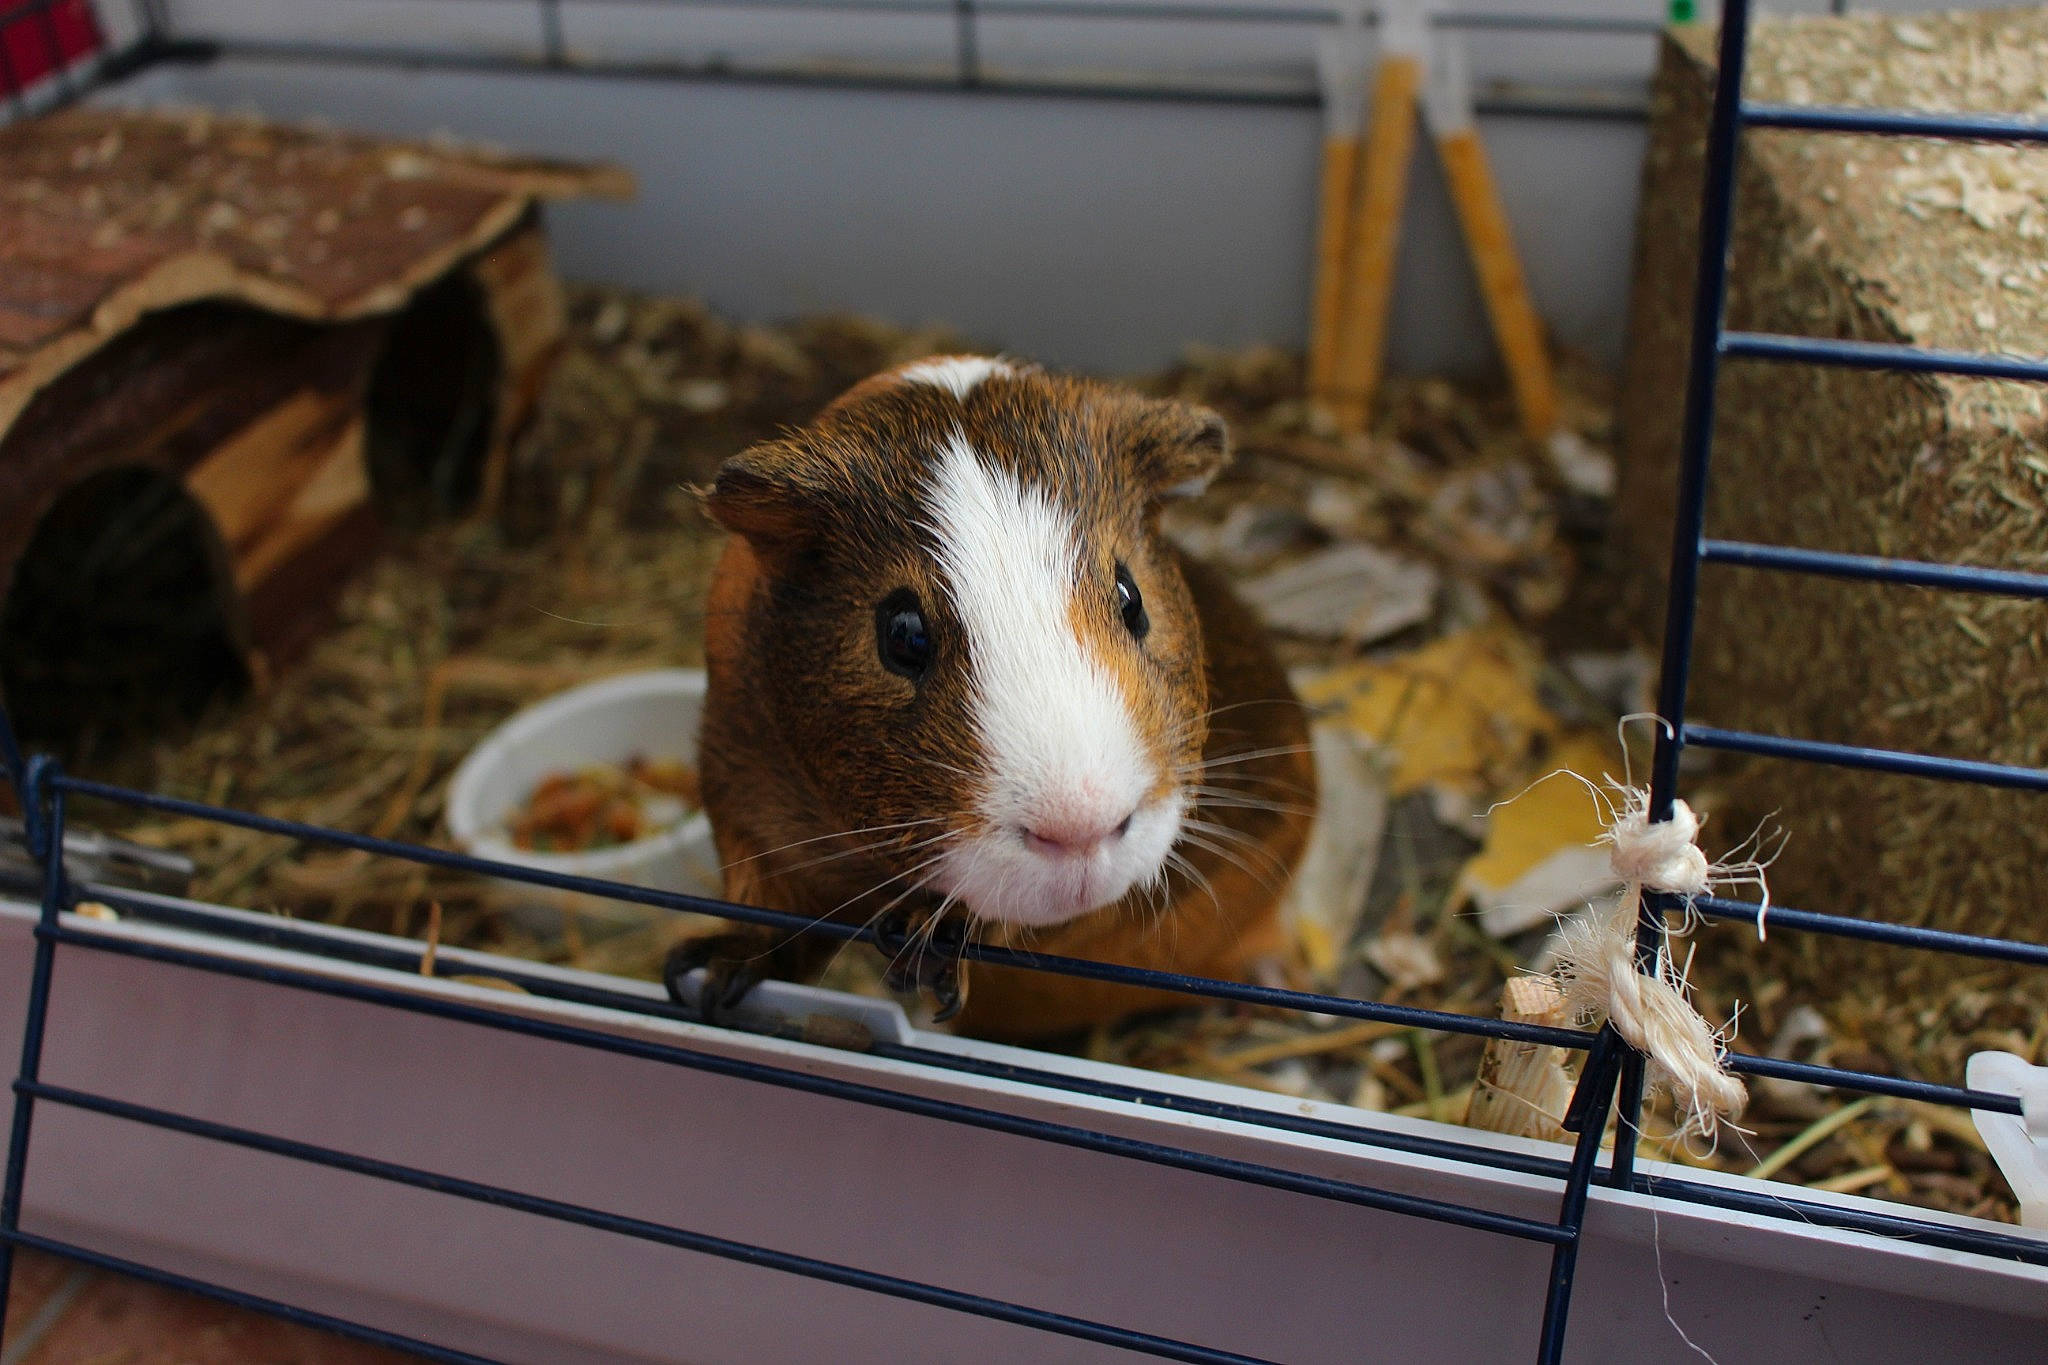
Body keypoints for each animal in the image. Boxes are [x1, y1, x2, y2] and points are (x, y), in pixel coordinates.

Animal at [668, 356, 1315, 1043]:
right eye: (902, 633)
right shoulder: (741, 799)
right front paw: (704, 979)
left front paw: (925, 951)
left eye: (1131, 597)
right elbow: (768, 911)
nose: (1080, 829)